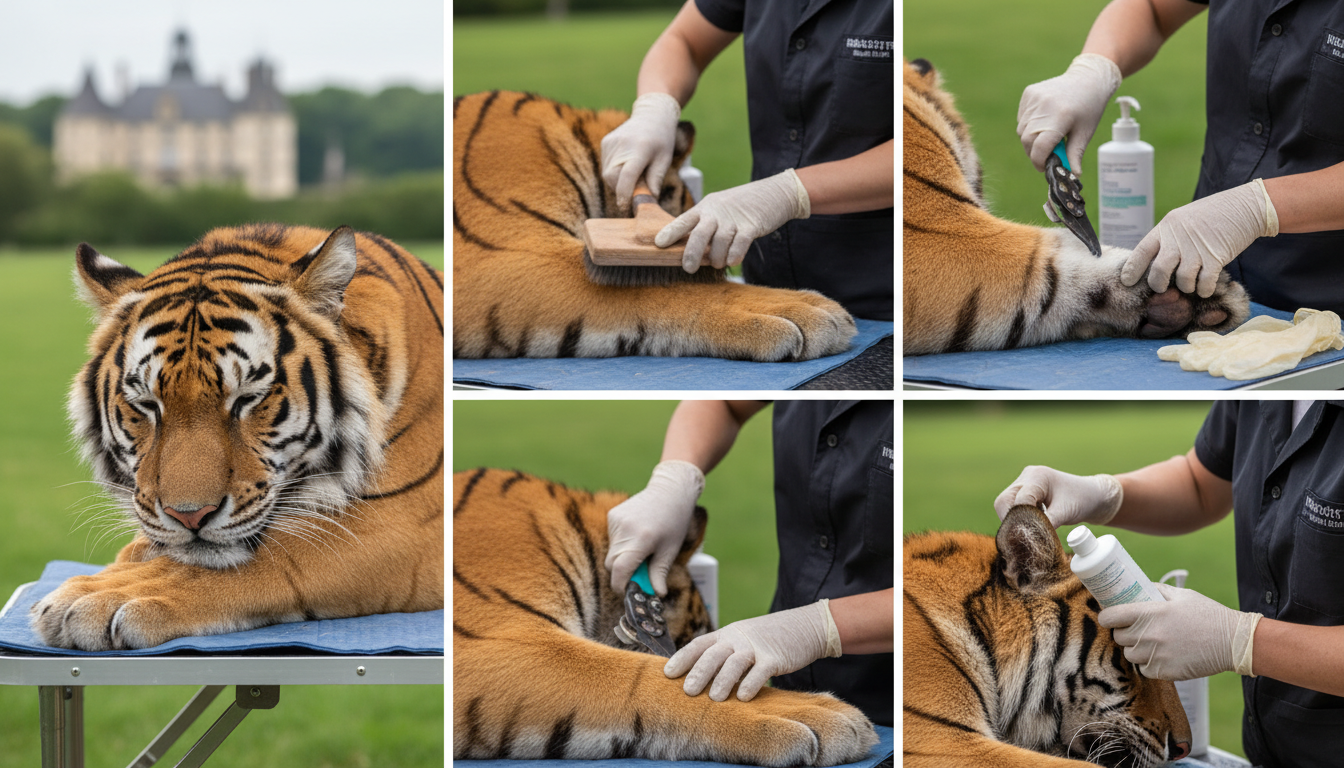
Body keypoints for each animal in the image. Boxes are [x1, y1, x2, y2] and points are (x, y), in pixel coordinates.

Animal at [30, 223, 444, 651]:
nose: (189, 515)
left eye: (247, 399)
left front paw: (95, 597)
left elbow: (278, 555)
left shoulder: (404, 524)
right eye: (147, 405)